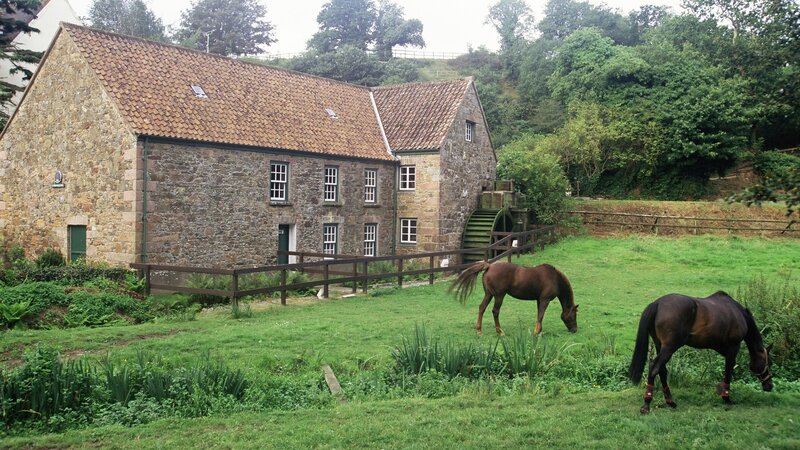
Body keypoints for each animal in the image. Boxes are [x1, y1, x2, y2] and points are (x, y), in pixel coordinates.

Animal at [449, 261, 578, 336]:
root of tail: (489, 266)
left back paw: (479, 330)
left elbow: (539, 315)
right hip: (499, 296)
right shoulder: (544, 300)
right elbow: (541, 315)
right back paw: (500, 331)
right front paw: (536, 332)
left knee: (482, 308)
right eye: (574, 315)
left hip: (489, 294)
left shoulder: (539, 300)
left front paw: (539, 330)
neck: (555, 278)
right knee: (495, 311)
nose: (575, 329)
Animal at [629, 291, 773, 414]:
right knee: (654, 367)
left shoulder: (723, 349)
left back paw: (670, 401)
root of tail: (657, 303)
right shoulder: (733, 348)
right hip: (669, 347)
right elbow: (728, 371)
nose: (770, 386)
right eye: (769, 363)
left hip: (660, 345)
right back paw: (646, 404)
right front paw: (726, 398)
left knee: (662, 370)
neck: (738, 313)